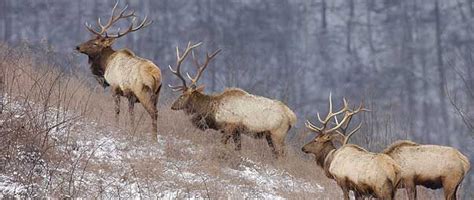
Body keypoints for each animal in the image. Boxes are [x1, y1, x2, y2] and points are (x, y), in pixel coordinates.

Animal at [76, 1, 161, 141]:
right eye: (91, 38)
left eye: (95, 43)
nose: (78, 47)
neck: (105, 64)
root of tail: (156, 75)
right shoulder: (130, 96)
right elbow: (131, 113)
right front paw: (131, 129)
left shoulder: (115, 87)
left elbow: (117, 110)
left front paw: (117, 128)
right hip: (157, 94)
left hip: (143, 91)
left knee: (153, 113)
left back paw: (154, 139)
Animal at [168, 42, 296, 158]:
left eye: (182, 95)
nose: (172, 106)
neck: (213, 111)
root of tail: (292, 117)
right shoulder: (237, 131)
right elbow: (238, 149)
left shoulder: (230, 126)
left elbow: (222, 145)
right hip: (270, 136)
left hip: (277, 134)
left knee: (282, 155)